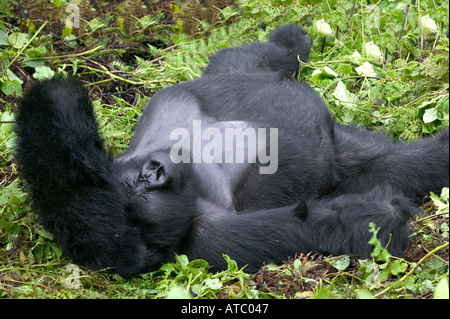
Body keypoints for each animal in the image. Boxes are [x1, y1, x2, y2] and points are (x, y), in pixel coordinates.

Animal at [14, 24, 450, 278]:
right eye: (137, 201)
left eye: (136, 183)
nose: (153, 173)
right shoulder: (204, 239)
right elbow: (316, 224)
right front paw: (385, 213)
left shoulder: (163, 110)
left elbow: (54, 123)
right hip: (335, 162)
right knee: (384, 167)